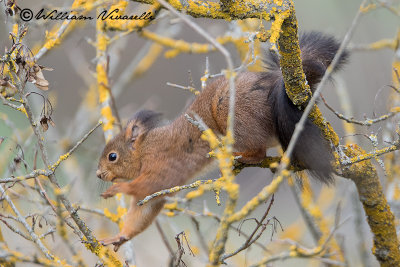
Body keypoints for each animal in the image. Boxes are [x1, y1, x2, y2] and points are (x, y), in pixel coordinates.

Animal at [96, 31, 346, 251]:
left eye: (112, 156)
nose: (99, 175)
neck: (143, 150)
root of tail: (275, 84)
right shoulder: (156, 194)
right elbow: (143, 211)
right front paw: (119, 237)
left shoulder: (161, 165)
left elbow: (146, 184)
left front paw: (117, 189)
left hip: (235, 115)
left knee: (259, 153)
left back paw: (240, 156)